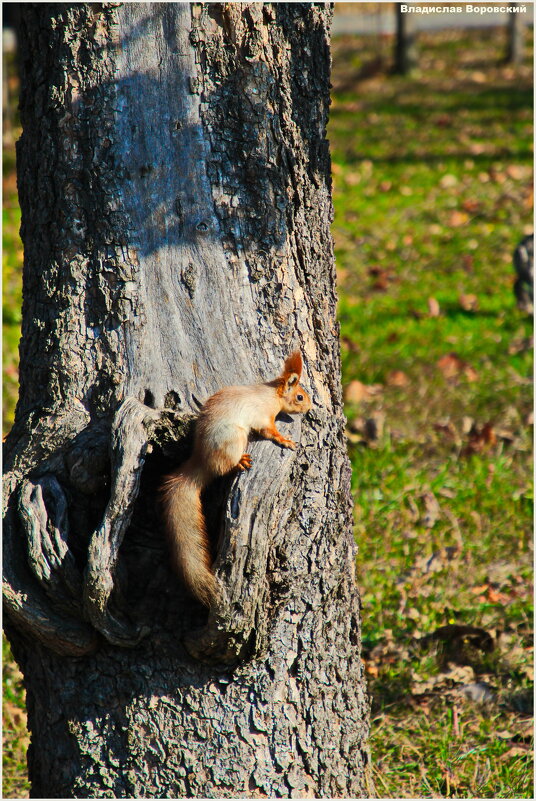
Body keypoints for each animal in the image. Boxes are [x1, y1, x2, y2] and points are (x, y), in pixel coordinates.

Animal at [159, 350, 312, 608]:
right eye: (300, 396)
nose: (309, 409)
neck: (271, 394)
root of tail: (201, 461)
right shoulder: (262, 416)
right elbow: (270, 431)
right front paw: (285, 440)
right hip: (235, 437)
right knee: (225, 465)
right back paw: (240, 461)